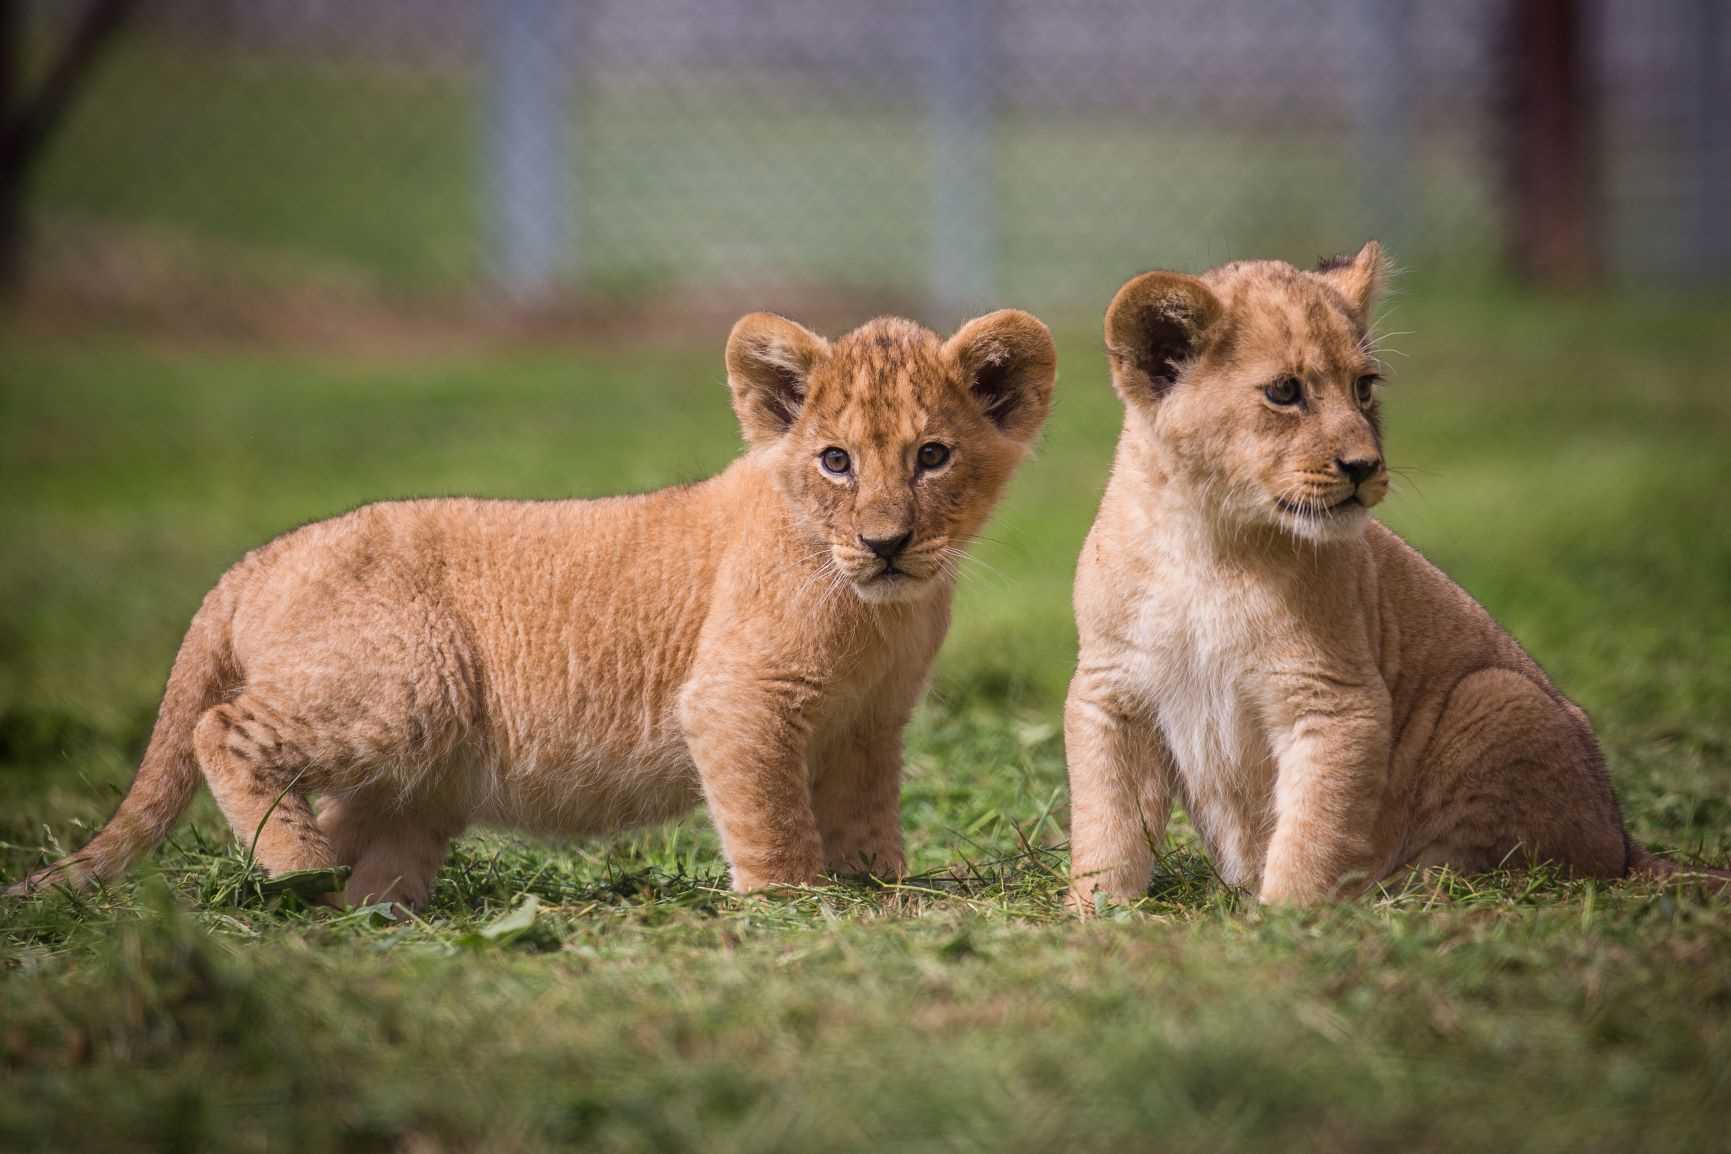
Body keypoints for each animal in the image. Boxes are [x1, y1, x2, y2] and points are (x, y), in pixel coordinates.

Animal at [9, 309, 1056, 907]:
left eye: (932, 457)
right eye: (836, 460)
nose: (885, 543)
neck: (878, 612)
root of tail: (255, 560)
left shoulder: (869, 724)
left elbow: (866, 816)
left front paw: (883, 889)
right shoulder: (740, 700)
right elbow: (772, 819)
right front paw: (791, 908)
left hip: (416, 771)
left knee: (362, 838)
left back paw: (356, 906)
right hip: (404, 689)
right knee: (220, 727)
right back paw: (295, 864)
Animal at [1066, 242, 1725, 906]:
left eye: (1363, 388)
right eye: (1284, 391)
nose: (1364, 466)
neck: (1209, 542)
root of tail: (1626, 844)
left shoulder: (1336, 700)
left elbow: (1312, 830)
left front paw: (1285, 919)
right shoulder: (1111, 693)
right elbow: (1108, 826)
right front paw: (1096, 915)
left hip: (1495, 696)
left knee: (1519, 876)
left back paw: (1393, 894)